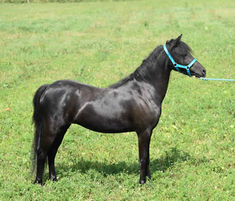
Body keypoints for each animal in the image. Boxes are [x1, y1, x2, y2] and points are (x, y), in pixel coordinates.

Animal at [31, 35, 206, 185]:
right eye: (183, 54)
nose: (203, 71)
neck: (144, 90)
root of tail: (49, 87)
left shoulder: (148, 132)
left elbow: (148, 156)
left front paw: (148, 179)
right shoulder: (144, 131)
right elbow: (143, 158)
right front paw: (142, 182)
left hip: (62, 129)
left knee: (52, 152)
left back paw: (54, 178)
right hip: (52, 129)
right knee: (42, 152)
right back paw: (39, 182)